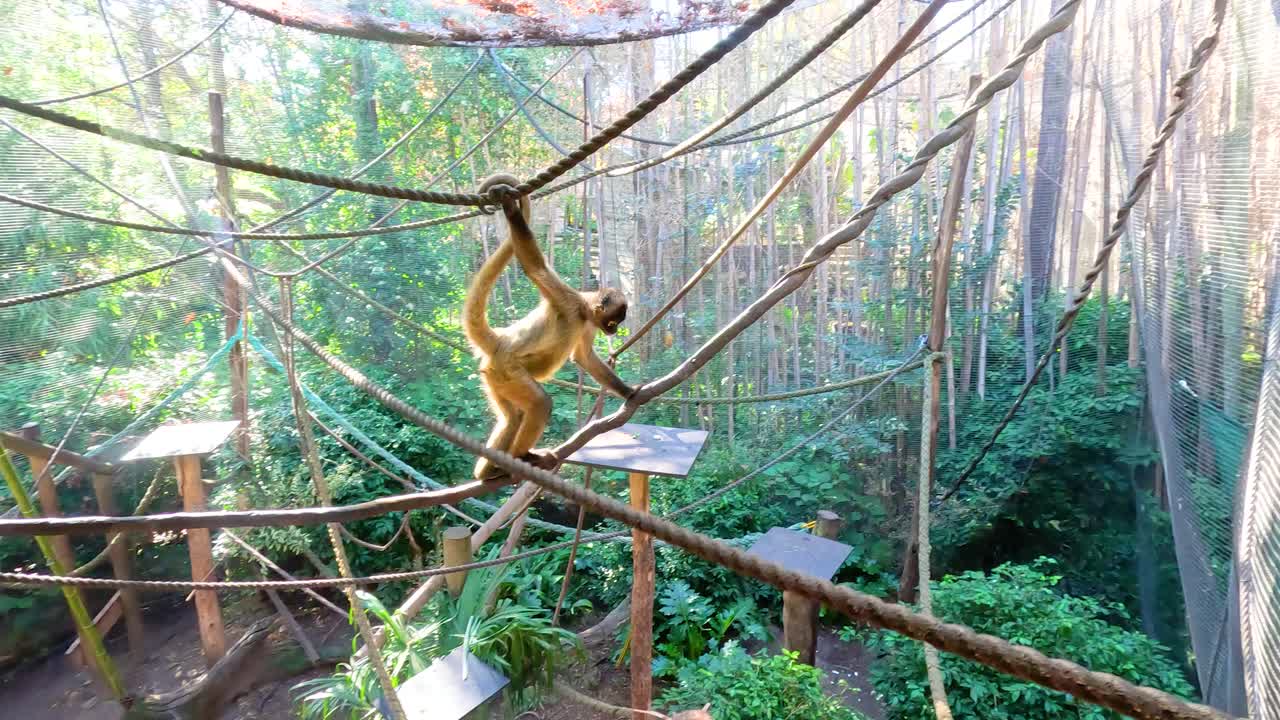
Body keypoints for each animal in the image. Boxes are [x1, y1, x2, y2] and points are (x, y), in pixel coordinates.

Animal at [463, 173, 635, 481]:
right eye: (615, 321)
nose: (614, 332)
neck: (583, 310)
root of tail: (500, 340)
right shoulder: (566, 299)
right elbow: (535, 268)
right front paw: (510, 209)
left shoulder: (588, 324)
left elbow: (584, 358)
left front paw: (628, 392)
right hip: (508, 370)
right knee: (539, 404)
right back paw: (521, 456)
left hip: (494, 375)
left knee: (512, 417)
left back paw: (487, 470)